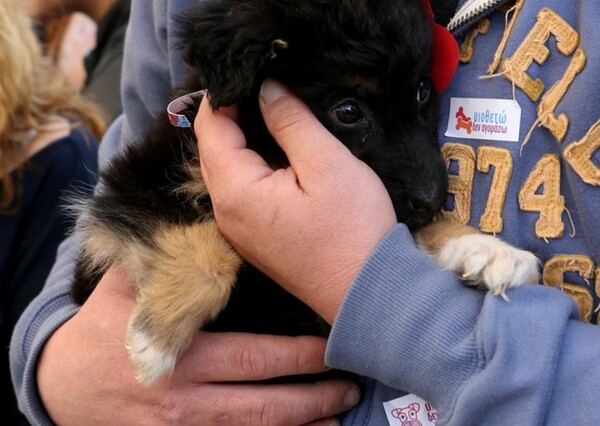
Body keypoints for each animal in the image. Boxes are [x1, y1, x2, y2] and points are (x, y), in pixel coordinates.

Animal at [72, 0, 536, 386]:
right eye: (347, 111)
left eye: (422, 91)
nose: (434, 198)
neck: (270, 148)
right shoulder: (135, 184)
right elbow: (205, 251)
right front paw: (157, 338)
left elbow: (403, 228)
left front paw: (486, 249)